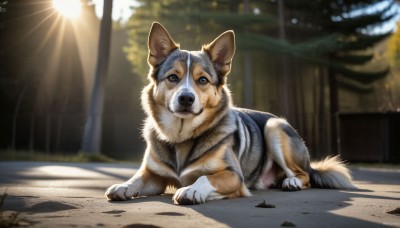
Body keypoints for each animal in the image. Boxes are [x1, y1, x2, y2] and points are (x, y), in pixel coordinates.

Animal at [104, 21, 356, 205]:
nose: (186, 98)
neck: (181, 136)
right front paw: (123, 186)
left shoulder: (233, 176)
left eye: (202, 80)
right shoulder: (153, 175)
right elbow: (137, 178)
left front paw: (192, 190)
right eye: (173, 77)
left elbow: (205, 177)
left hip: (274, 128)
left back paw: (291, 182)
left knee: (305, 176)